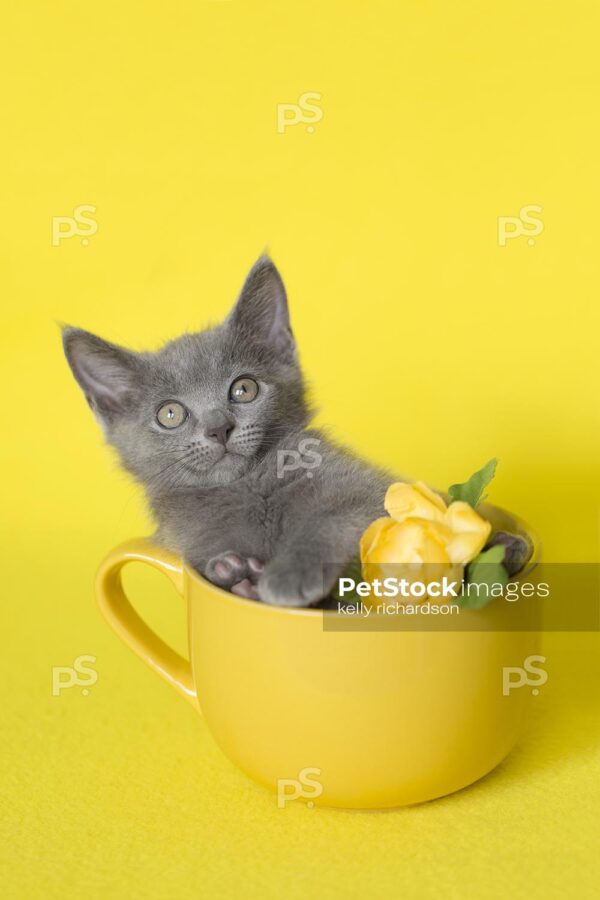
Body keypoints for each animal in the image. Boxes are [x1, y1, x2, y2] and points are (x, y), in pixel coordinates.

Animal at [65, 260, 392, 612]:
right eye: (170, 414)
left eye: (244, 389)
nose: (218, 428)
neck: (248, 486)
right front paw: (232, 573)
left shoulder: (370, 489)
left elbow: (336, 517)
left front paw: (289, 574)